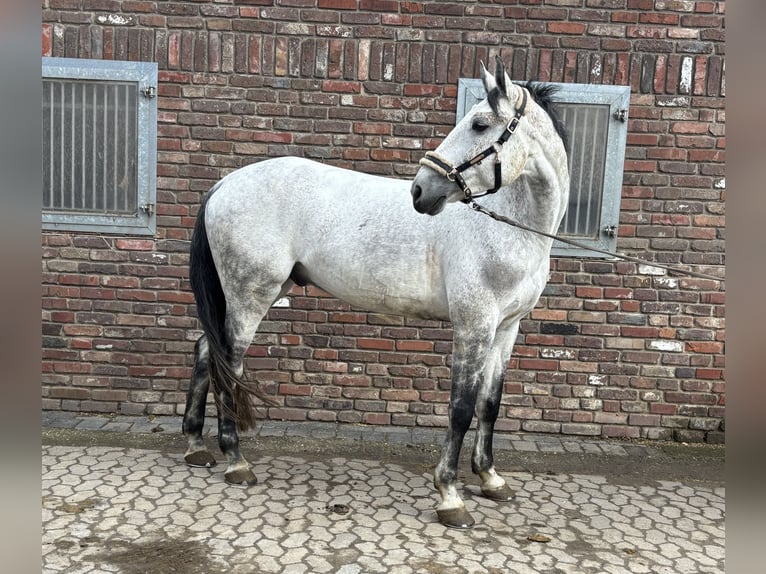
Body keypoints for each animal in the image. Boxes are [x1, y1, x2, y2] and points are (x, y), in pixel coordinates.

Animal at [182, 56, 570, 529]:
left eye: (479, 124)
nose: (421, 191)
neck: (509, 227)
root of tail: (225, 184)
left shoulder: (506, 329)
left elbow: (489, 404)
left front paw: (491, 478)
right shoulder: (474, 325)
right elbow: (460, 408)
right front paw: (450, 496)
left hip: (256, 293)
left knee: (206, 351)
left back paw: (196, 447)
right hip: (249, 295)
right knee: (229, 365)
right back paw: (236, 461)